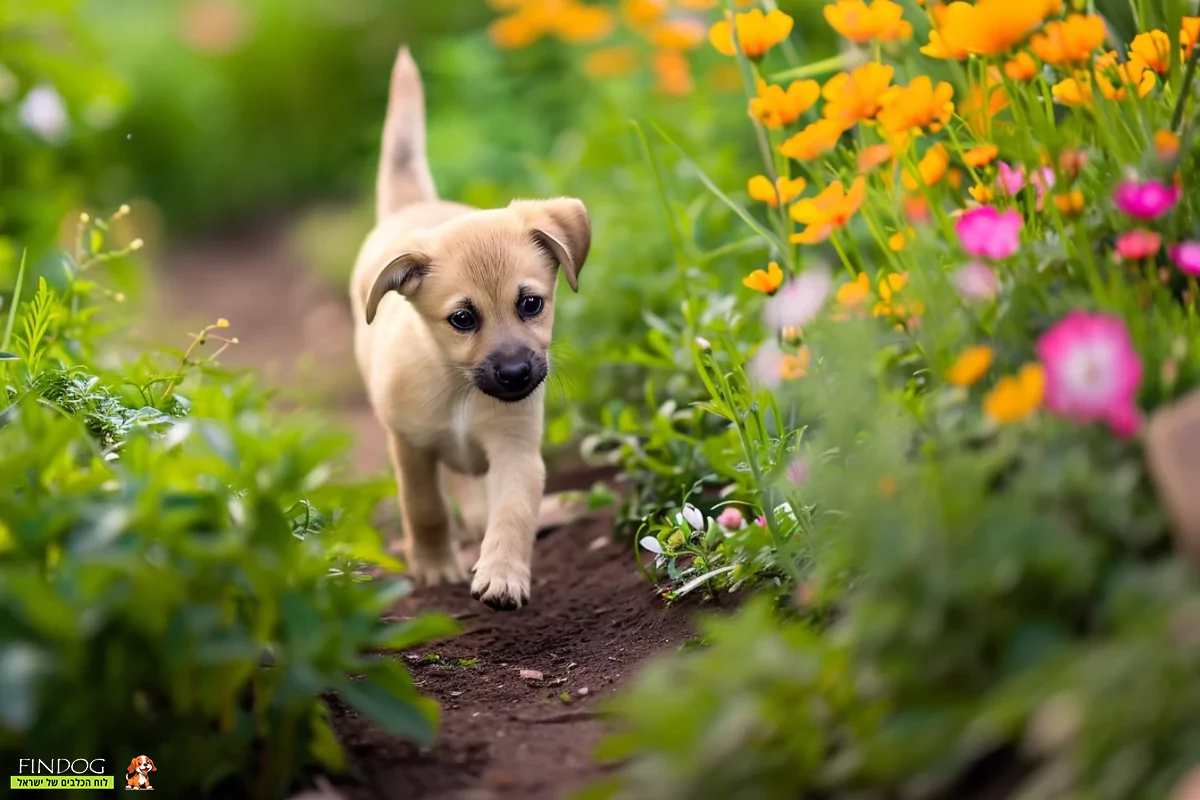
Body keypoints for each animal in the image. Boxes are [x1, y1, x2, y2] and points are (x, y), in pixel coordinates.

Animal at [348, 47, 590, 609]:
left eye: (531, 304)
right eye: (462, 319)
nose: (516, 374)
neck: (458, 389)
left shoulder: (517, 450)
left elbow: (512, 513)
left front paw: (501, 574)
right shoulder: (410, 446)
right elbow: (425, 509)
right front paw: (437, 567)